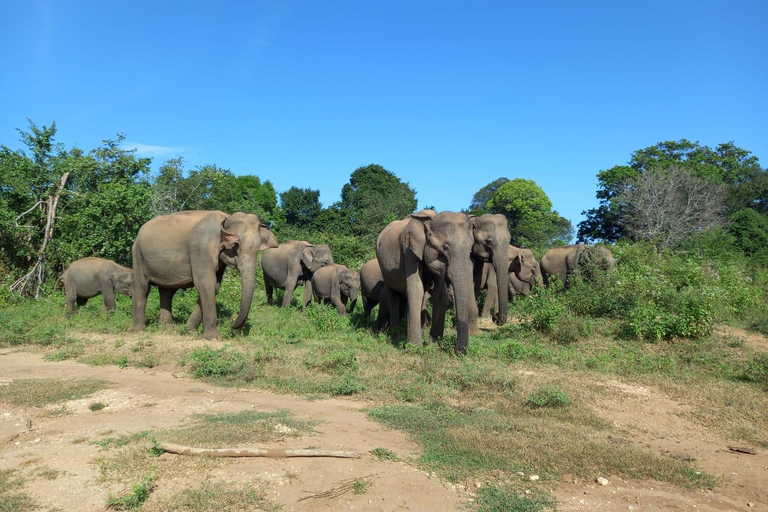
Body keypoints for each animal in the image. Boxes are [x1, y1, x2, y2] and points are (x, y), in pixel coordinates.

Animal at [130, 212, 278, 340]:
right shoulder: (200, 249)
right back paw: (138, 330)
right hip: (137, 254)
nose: (232, 322)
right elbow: (206, 283)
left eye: (258, 248)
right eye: (236, 245)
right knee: (142, 287)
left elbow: (214, 286)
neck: (225, 218)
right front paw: (213, 338)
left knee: (167, 291)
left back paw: (167, 328)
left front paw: (190, 330)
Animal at [376, 210, 476, 354]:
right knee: (393, 295)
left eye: (470, 249)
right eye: (445, 247)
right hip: (383, 267)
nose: (457, 351)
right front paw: (414, 348)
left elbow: (440, 293)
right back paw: (395, 332)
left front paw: (434, 344)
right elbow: (415, 288)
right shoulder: (408, 250)